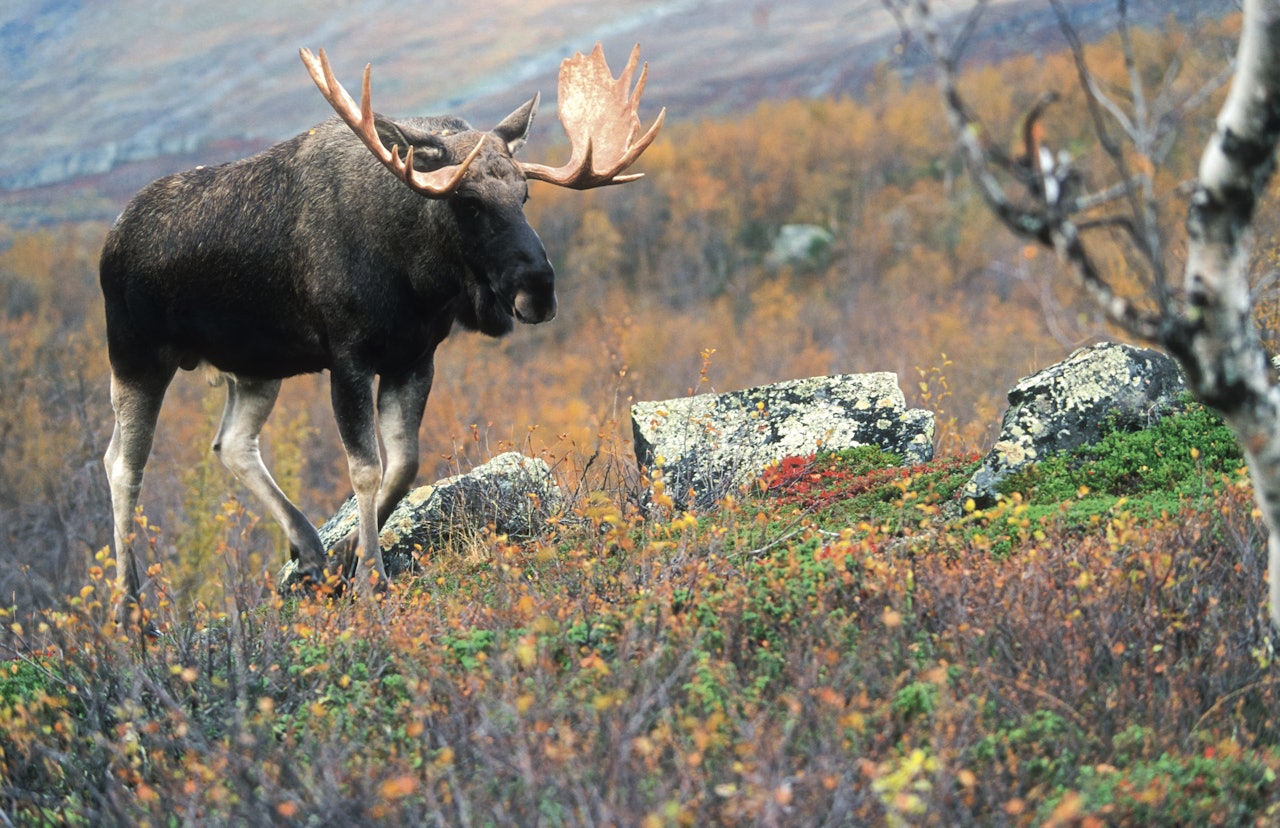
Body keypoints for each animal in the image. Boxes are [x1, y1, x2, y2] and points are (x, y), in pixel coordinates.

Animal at [101, 43, 665, 629]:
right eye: (467, 201)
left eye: (525, 194)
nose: (538, 289)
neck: (415, 273)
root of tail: (111, 237)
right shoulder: (348, 358)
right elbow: (366, 469)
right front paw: (371, 579)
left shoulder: (413, 358)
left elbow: (405, 464)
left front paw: (349, 557)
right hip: (136, 355)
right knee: (122, 465)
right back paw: (130, 611)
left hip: (256, 368)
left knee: (231, 443)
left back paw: (310, 551)